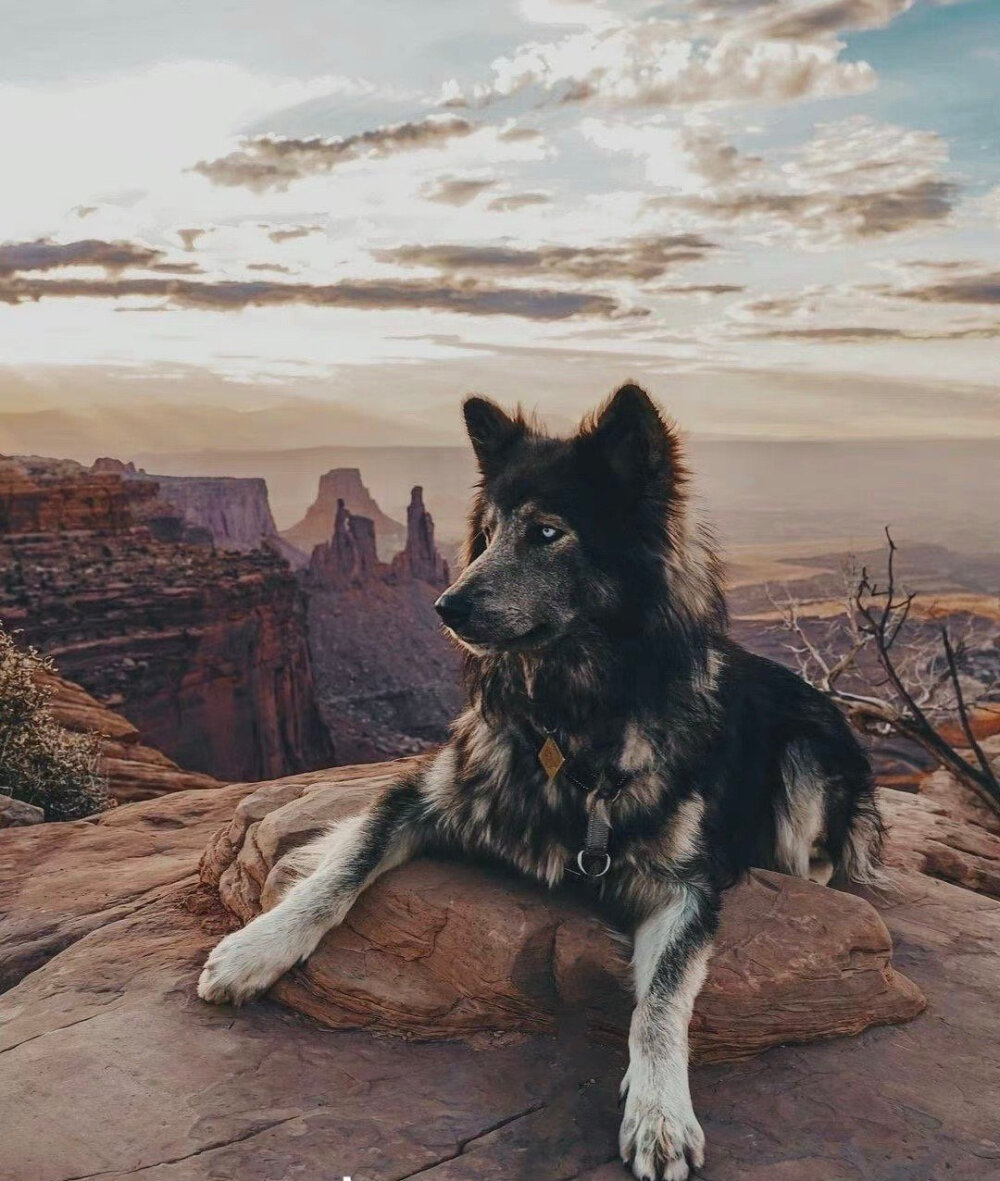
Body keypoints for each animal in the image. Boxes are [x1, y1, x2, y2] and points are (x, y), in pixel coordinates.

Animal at [197, 385, 883, 1181]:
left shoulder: (687, 884)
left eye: (547, 532)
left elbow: (661, 1002)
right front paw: (254, 949)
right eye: (488, 532)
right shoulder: (425, 792)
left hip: (806, 757)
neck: (569, 720)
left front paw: (660, 1114)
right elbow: (338, 871)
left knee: (821, 859)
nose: (445, 605)